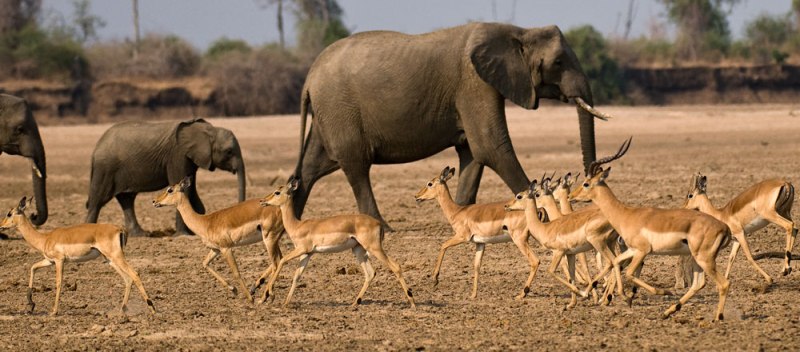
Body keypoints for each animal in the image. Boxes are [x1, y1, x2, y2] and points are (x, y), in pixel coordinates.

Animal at [85, 118, 245, 236]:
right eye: (229, 152)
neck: (207, 130)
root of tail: (95, 148)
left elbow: (190, 188)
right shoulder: (177, 155)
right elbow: (183, 187)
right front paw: (183, 235)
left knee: (127, 199)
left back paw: (141, 235)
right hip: (105, 169)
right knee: (97, 201)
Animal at [294, 22, 612, 227]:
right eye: (558, 62)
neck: (519, 31)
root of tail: (308, 77)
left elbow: (472, 154)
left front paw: (462, 214)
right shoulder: (474, 83)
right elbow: (491, 147)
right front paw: (542, 214)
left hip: (328, 114)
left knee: (310, 168)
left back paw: (289, 227)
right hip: (340, 109)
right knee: (357, 167)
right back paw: (382, 226)